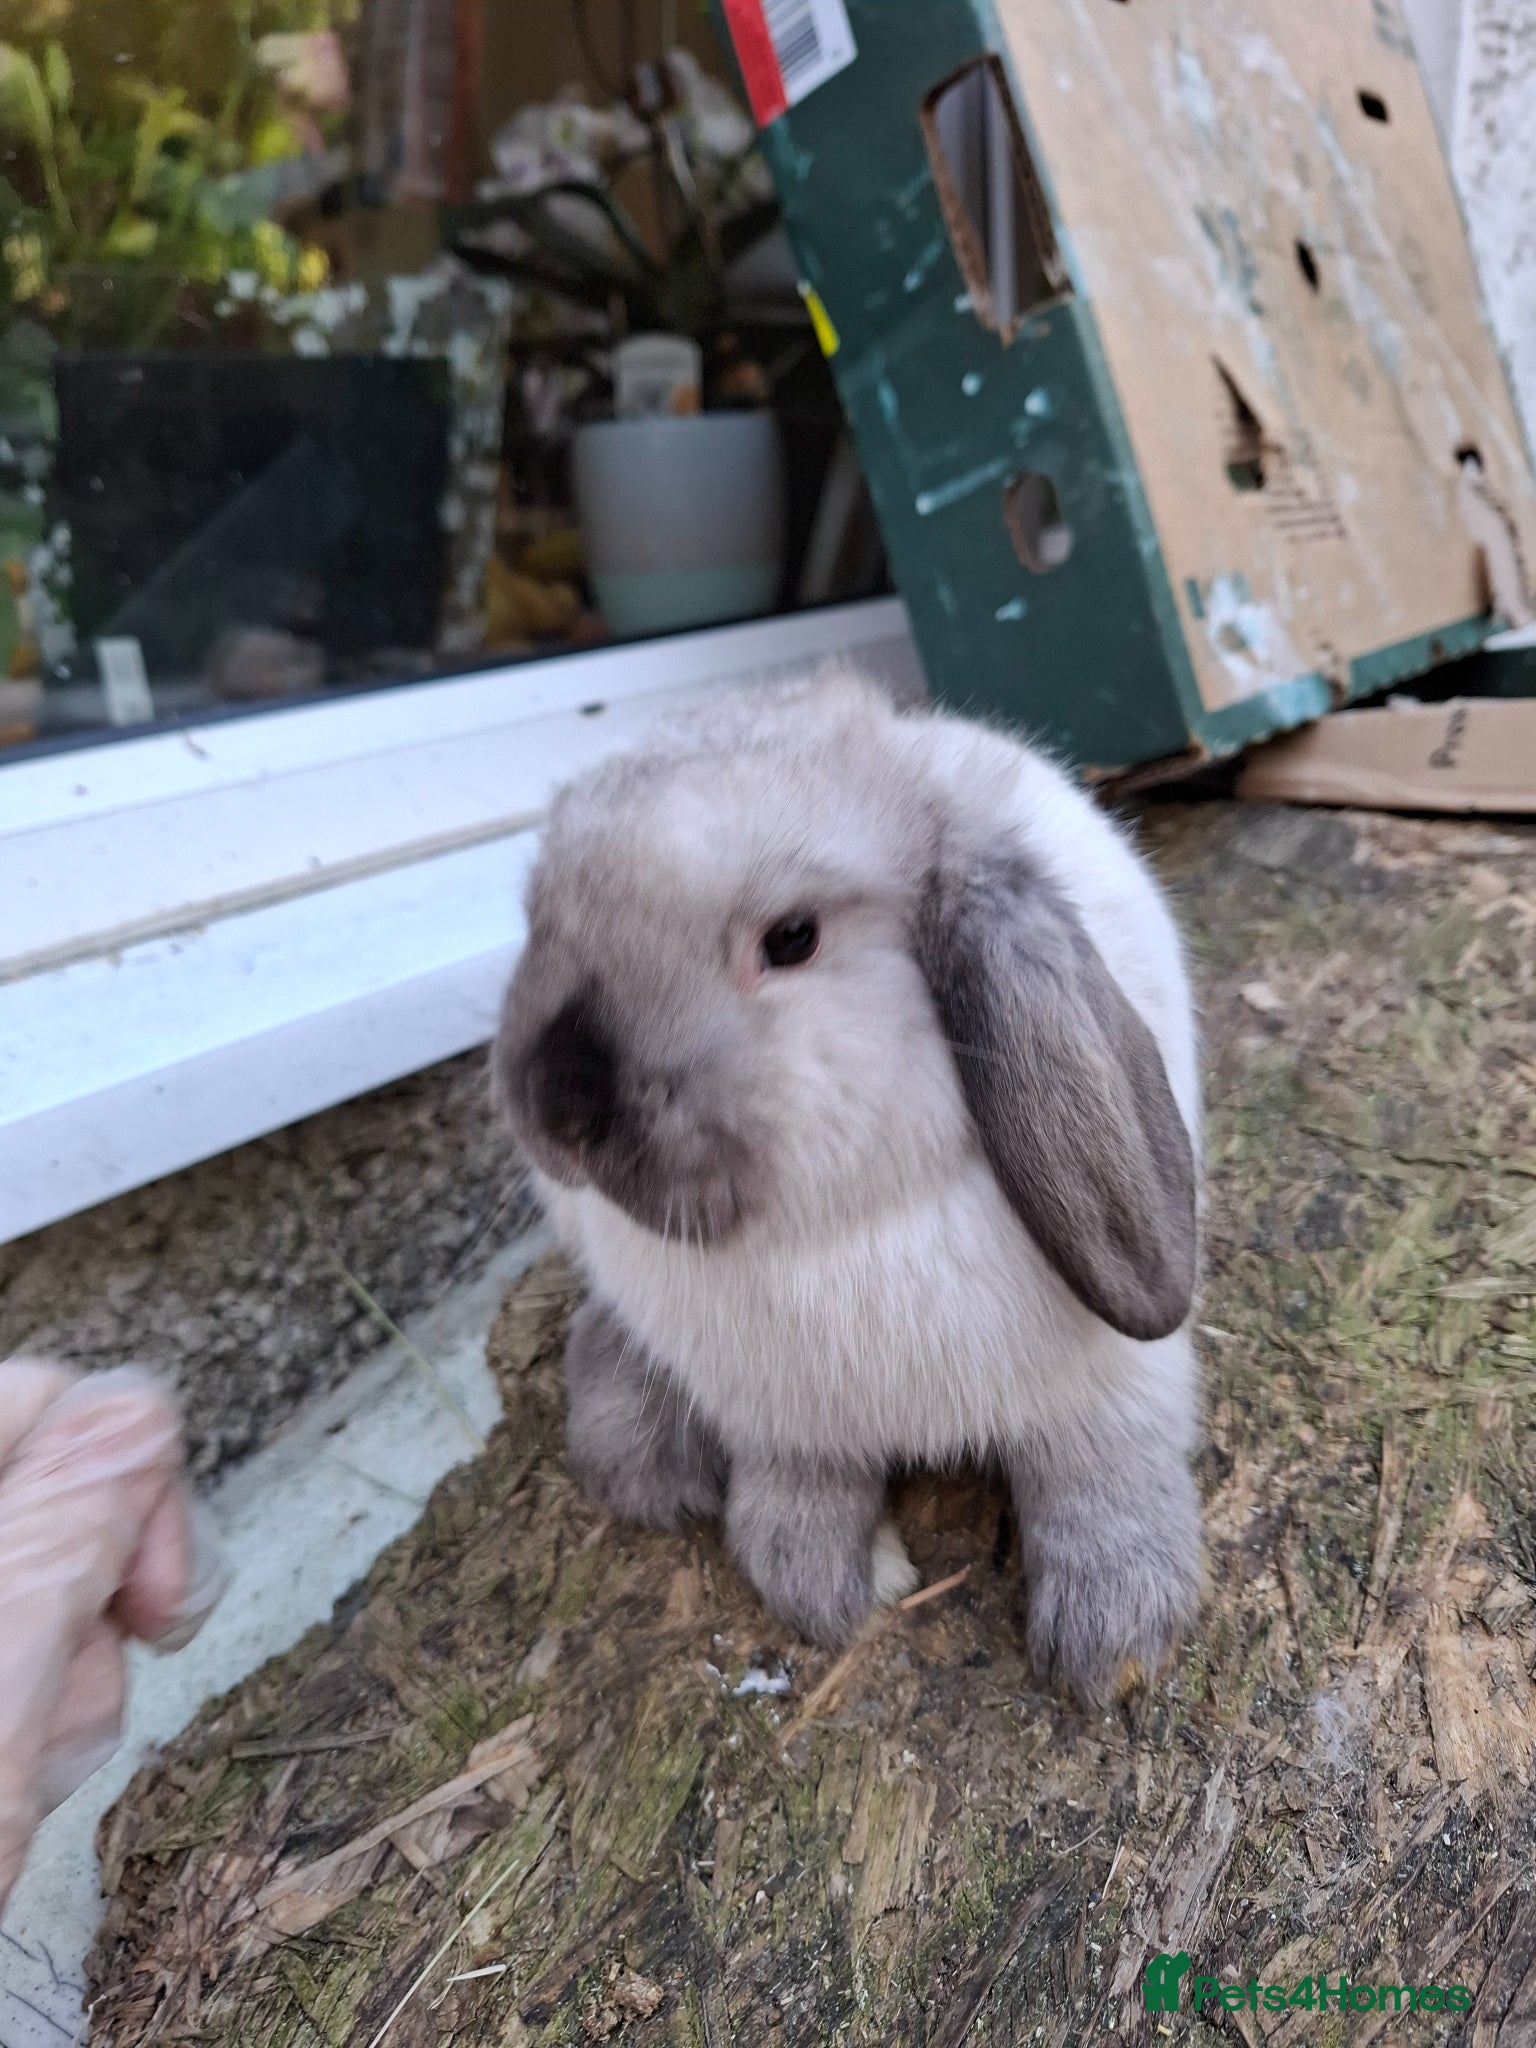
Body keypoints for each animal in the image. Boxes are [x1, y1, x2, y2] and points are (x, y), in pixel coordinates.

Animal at [493, 667, 1203, 1706]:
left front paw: (1113, 1637)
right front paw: (820, 1582)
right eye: (537, 913)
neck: (840, 1227)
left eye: (792, 939)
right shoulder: (782, 1424)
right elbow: (797, 1495)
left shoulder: (1108, 1382)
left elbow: (1102, 1473)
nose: (555, 1108)